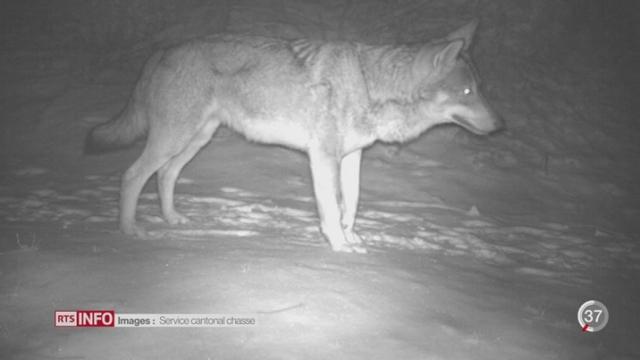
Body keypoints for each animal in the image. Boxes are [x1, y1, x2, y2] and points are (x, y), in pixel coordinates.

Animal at [86, 20, 504, 253]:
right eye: (468, 93)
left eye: (480, 89)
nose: (500, 125)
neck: (370, 85)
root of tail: (160, 51)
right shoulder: (322, 158)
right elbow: (331, 209)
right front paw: (339, 248)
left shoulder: (352, 157)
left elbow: (352, 203)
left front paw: (353, 240)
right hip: (175, 138)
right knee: (133, 175)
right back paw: (129, 231)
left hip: (195, 139)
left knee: (164, 175)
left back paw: (173, 220)